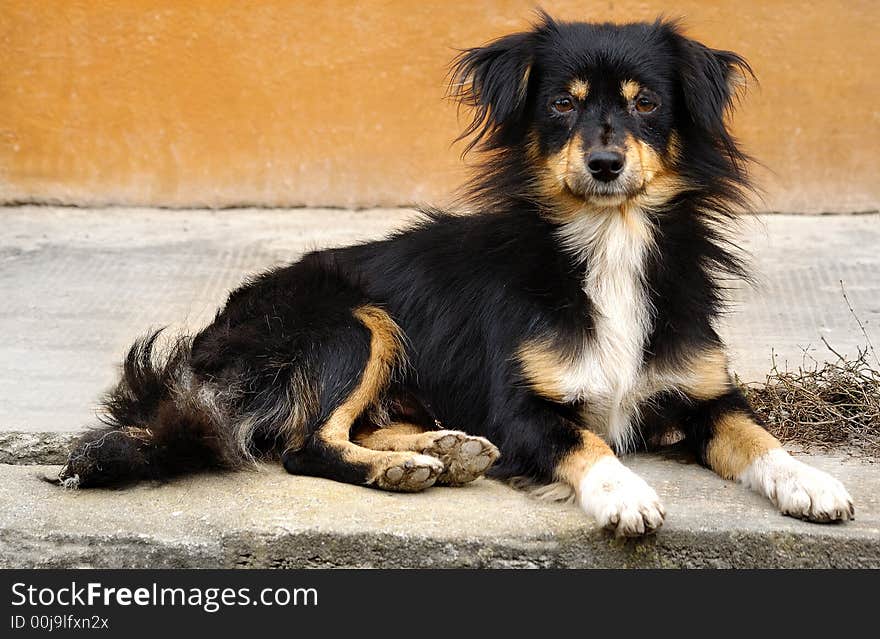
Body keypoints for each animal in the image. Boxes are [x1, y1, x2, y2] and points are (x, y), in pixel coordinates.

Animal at [60, 13, 852, 536]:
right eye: (560, 103)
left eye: (647, 103)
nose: (604, 164)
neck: (610, 240)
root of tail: (210, 338)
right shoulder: (522, 408)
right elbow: (588, 442)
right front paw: (623, 494)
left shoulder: (706, 390)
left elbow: (758, 437)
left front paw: (812, 483)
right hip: (353, 322)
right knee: (303, 442)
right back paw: (402, 467)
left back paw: (443, 448)